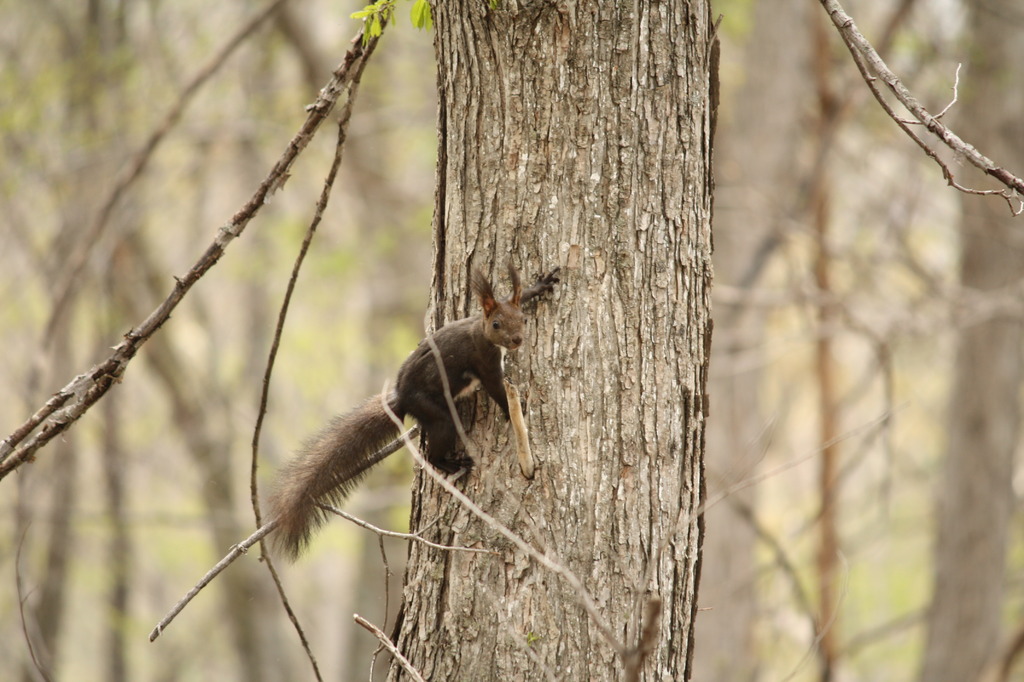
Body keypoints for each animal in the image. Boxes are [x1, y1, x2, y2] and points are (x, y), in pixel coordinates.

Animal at [270, 261, 561, 557]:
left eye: (523, 319)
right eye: (496, 324)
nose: (516, 340)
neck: (479, 330)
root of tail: (401, 400)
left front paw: (539, 286)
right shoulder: (484, 361)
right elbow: (496, 388)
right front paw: (512, 409)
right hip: (435, 412)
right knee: (433, 450)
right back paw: (451, 462)